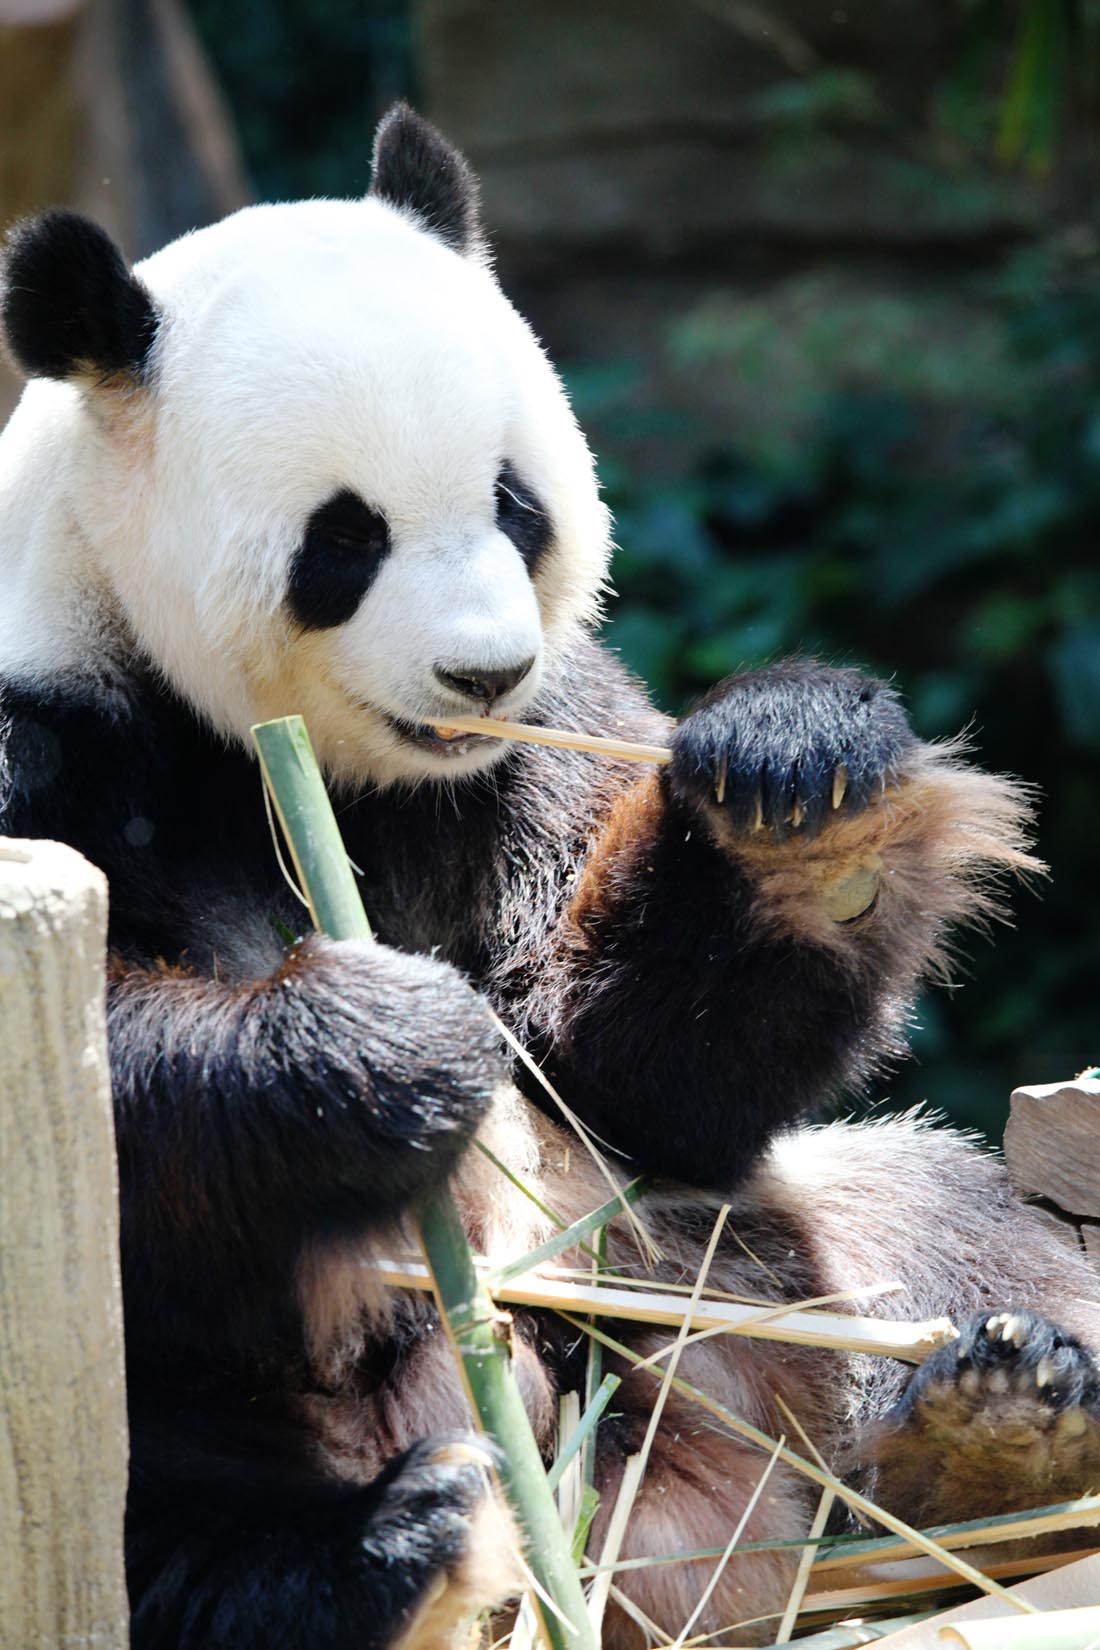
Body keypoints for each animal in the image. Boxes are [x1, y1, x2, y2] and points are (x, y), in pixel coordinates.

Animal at [2, 103, 1100, 1650]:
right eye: (344, 538)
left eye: (513, 502)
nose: (482, 671)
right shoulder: (49, 733)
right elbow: (99, 1084)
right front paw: (384, 1044)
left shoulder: (531, 745)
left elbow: (632, 1073)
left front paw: (797, 794)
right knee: (135, 1467)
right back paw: (385, 1555)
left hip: (713, 1284)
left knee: (933, 1220)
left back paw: (993, 1424)